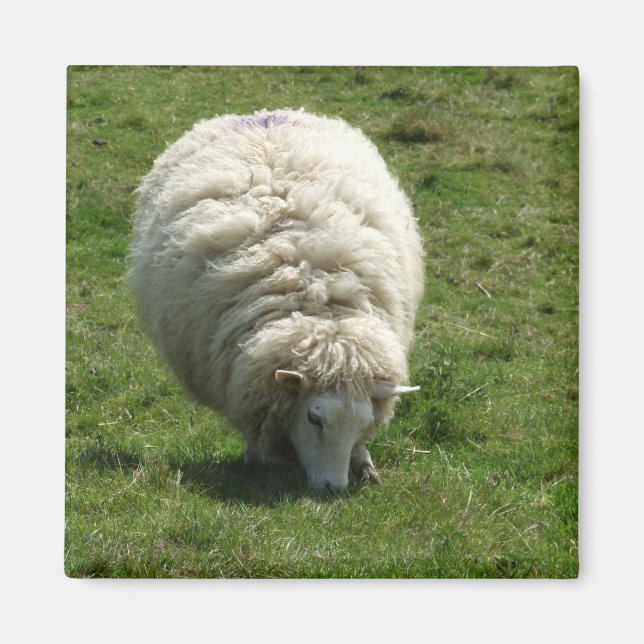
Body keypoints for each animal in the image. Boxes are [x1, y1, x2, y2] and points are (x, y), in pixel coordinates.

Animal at [129, 108, 424, 491]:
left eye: (362, 423)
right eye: (315, 419)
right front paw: (256, 460)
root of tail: (261, 115)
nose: (332, 488)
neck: (319, 308)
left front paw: (365, 464)